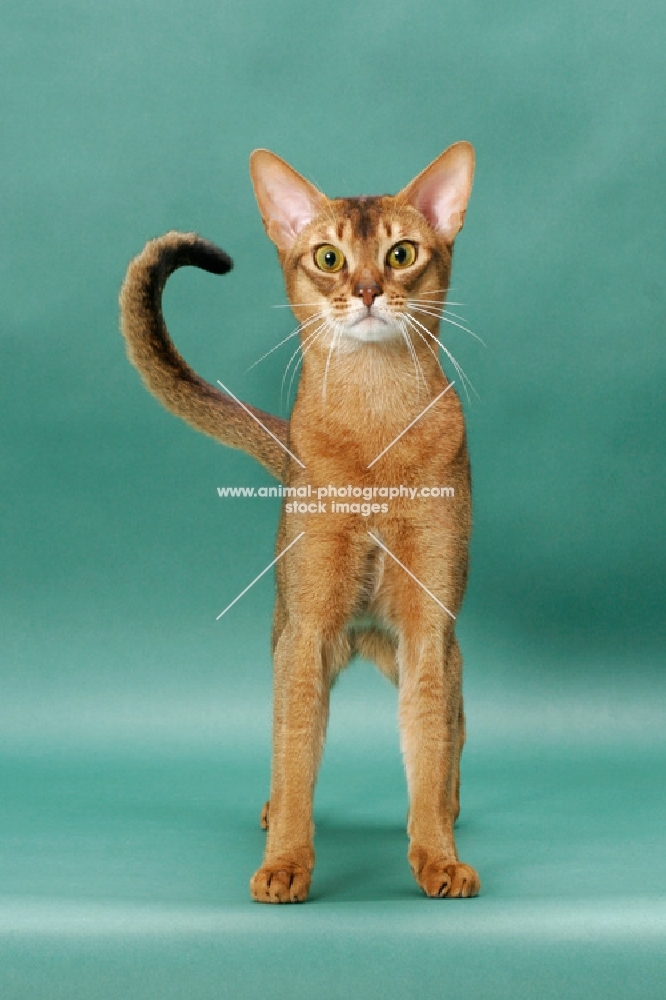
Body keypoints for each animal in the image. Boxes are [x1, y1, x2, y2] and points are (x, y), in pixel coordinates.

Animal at [120, 143, 478, 908]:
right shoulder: (309, 630)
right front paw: (284, 864)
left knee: (455, 728)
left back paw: (450, 809)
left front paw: (438, 857)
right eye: (329, 258)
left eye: (402, 254)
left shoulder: (427, 628)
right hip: (296, 635)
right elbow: (293, 757)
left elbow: (429, 743)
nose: (369, 290)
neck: (373, 430)